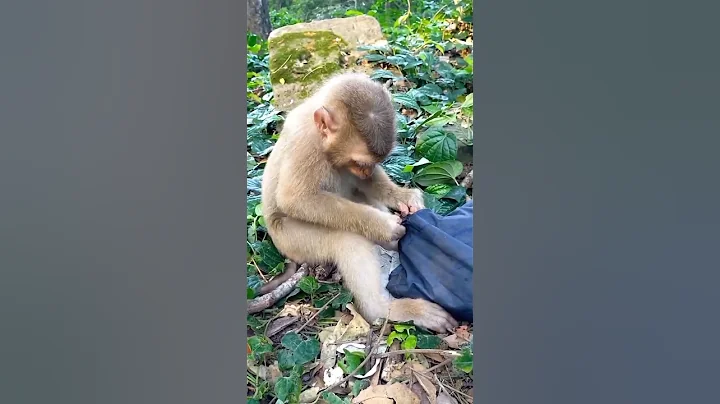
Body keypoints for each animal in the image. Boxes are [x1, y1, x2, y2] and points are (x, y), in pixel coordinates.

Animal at [261, 72, 458, 333]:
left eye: (370, 164)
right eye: (360, 162)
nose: (366, 171)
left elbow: (365, 183)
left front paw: (405, 198)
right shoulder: (306, 144)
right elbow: (295, 199)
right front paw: (386, 226)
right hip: (292, 241)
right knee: (345, 239)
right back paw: (384, 308)